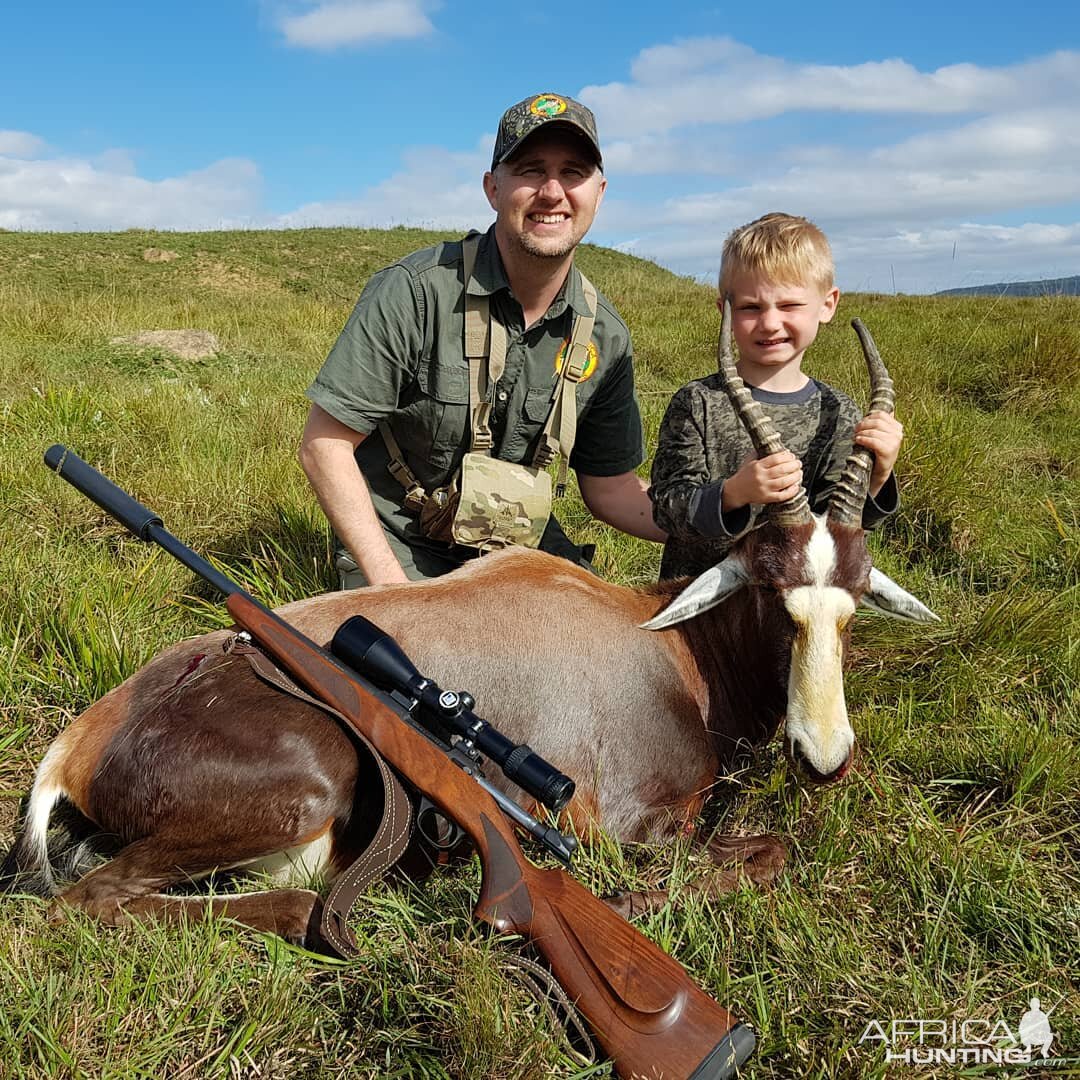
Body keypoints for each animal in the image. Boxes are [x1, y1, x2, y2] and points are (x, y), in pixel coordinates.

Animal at [2, 313, 937, 946]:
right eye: (774, 591)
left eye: (855, 599)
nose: (825, 756)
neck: (662, 639)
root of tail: (82, 740)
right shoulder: (631, 828)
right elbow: (764, 854)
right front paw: (622, 907)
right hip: (313, 783)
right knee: (103, 900)